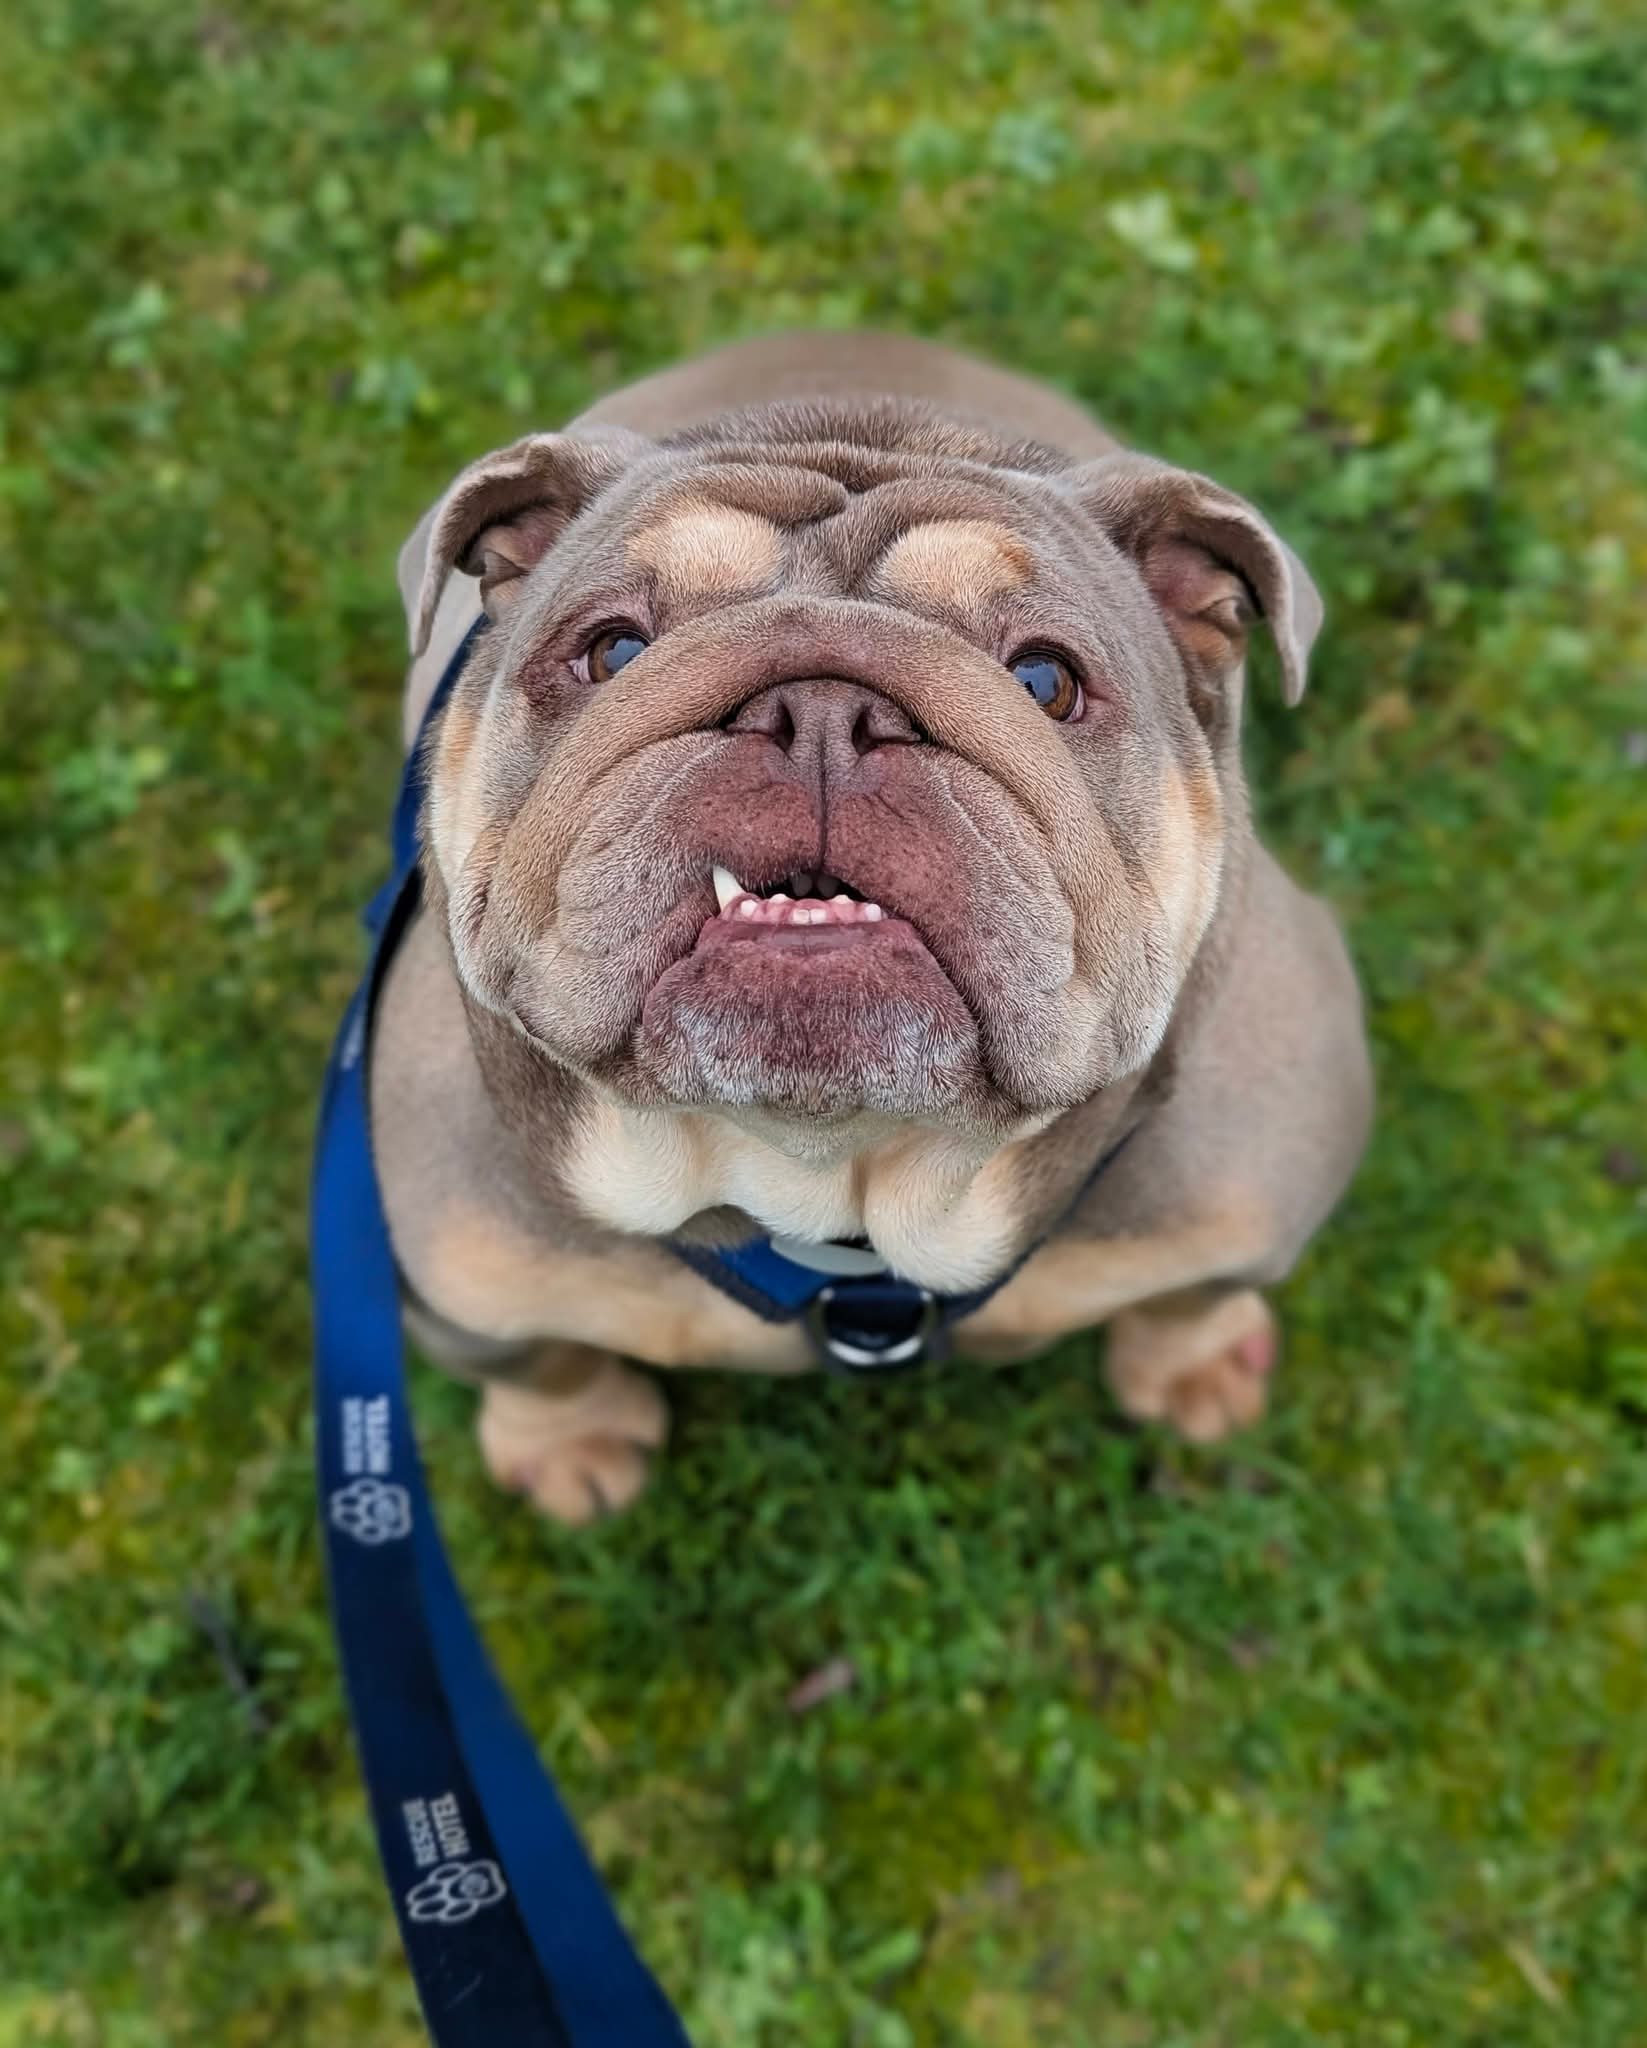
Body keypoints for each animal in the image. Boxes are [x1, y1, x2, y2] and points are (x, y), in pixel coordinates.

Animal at [369, 331, 1372, 1524]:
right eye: (612, 651)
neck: (834, 1186)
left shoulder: (1246, 1185)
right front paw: (571, 1444)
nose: (821, 709)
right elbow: (542, 1361)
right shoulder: (461, 1271)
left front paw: (1195, 1369)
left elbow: (1193, 1293)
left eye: (1046, 678)